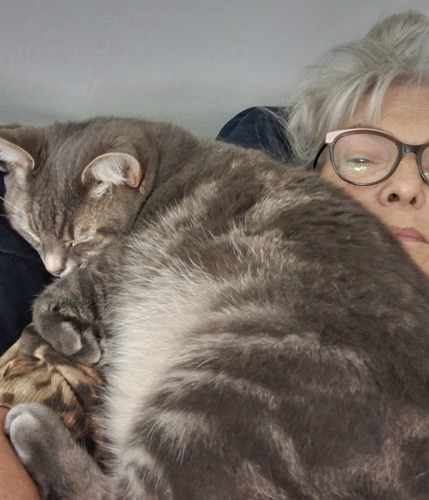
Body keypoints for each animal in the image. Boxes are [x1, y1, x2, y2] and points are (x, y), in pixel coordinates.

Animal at [1, 118, 428, 500]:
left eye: (81, 239)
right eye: (31, 233)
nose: (53, 265)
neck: (163, 171)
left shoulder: (122, 258)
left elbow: (54, 298)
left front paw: (72, 336)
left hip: (217, 396)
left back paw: (30, 423)